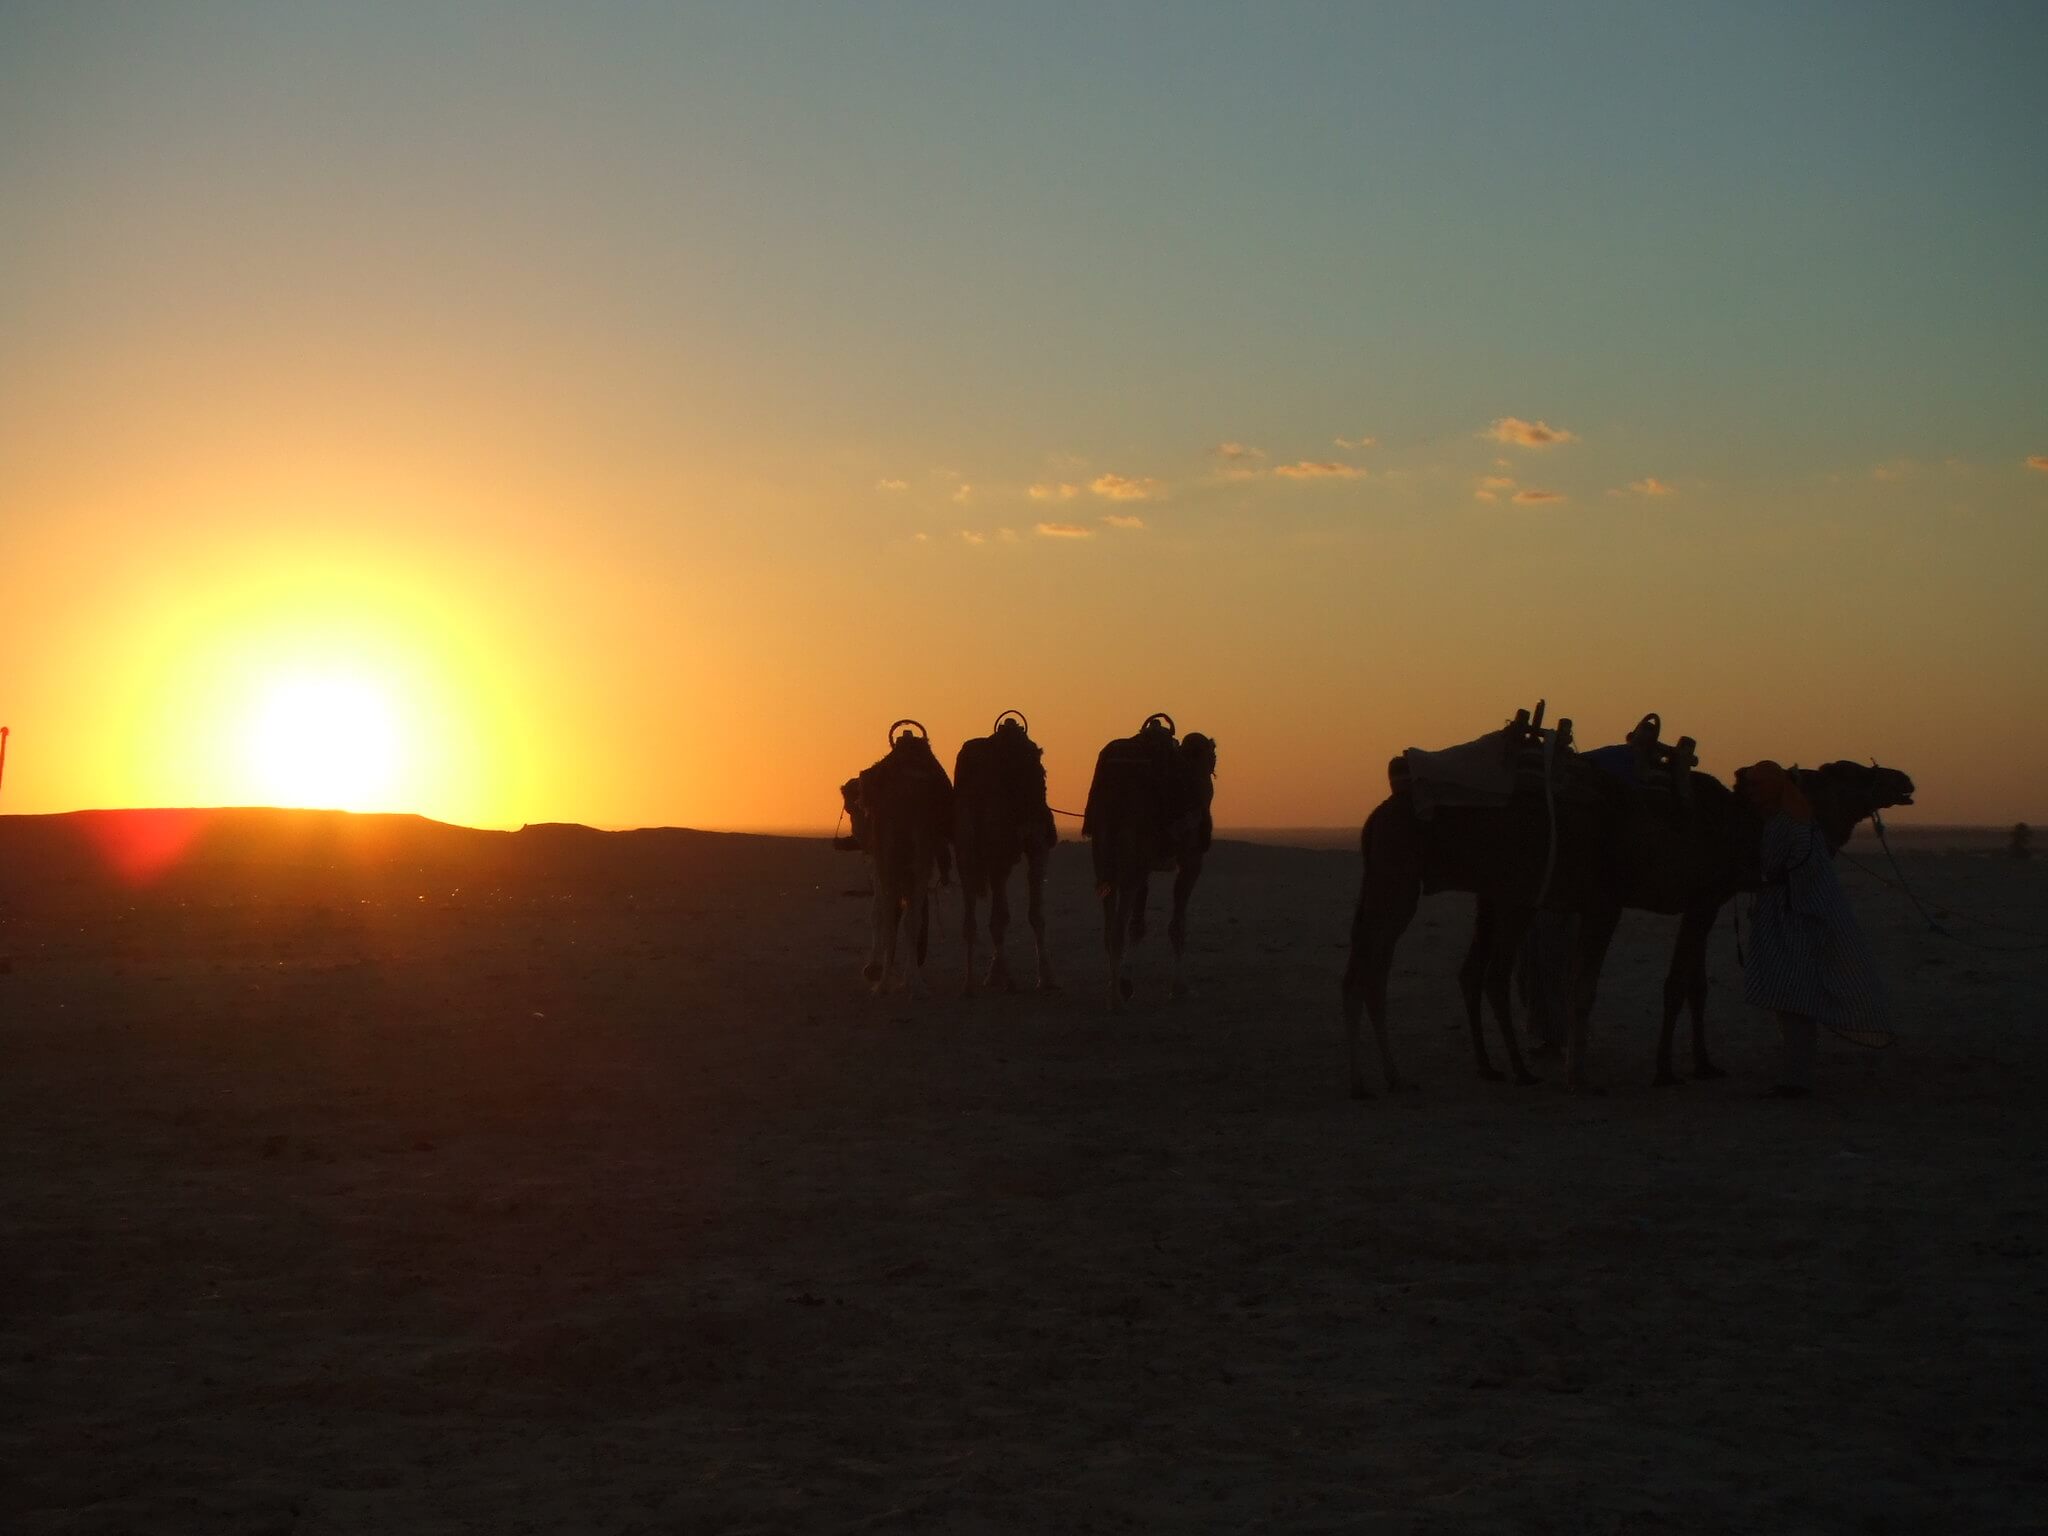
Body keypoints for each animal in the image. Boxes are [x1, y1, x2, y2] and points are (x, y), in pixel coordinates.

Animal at [839, 720, 950, 999]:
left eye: (852, 809)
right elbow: (906, 915)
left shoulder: (877, 862)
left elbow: (878, 912)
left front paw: (873, 969)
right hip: (918, 852)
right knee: (910, 916)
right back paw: (914, 983)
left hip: (889, 855)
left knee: (890, 913)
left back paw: (884, 983)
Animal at [954, 712, 1064, 999]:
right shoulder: (1035, 845)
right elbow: (1032, 914)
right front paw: (1046, 977)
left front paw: (994, 976)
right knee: (994, 916)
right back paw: (1002, 979)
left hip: (966, 849)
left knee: (971, 917)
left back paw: (969, 983)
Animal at [1089, 720, 1212, 1011]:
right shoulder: (1191, 860)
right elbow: (1177, 925)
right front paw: (1179, 988)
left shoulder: (1145, 865)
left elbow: (1138, 925)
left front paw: (1127, 983)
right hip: (1129, 854)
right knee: (1116, 928)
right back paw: (1114, 1002)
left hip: (1105, 855)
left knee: (1110, 924)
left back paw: (1113, 991)